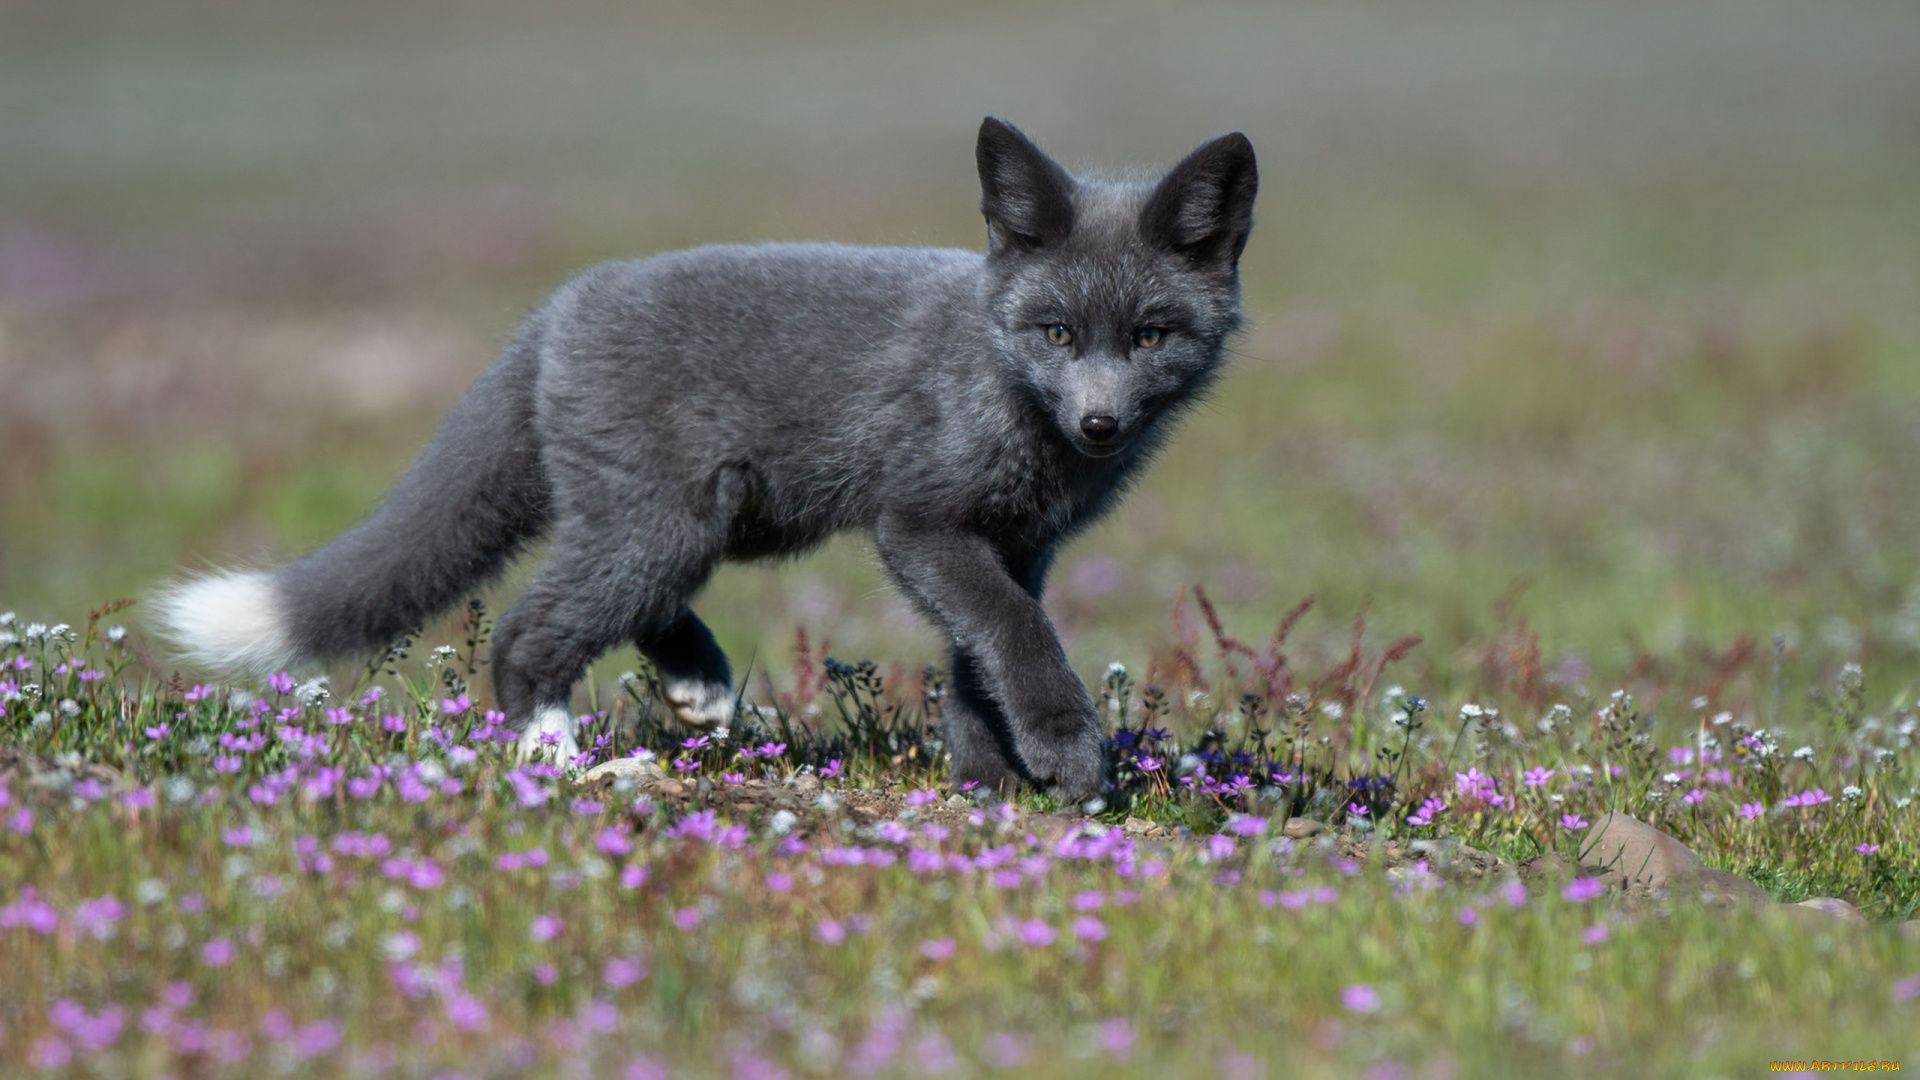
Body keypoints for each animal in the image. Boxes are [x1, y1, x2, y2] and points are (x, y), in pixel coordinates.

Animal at [155, 118, 1257, 800]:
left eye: (1150, 336)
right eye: (1058, 333)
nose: (1101, 425)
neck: (1001, 373)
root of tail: (560, 306)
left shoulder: (1020, 546)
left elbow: (977, 662)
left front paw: (992, 784)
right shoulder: (922, 523)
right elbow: (1017, 637)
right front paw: (1065, 757)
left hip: (696, 521)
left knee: (621, 606)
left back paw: (698, 688)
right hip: (668, 524)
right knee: (525, 631)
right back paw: (556, 758)